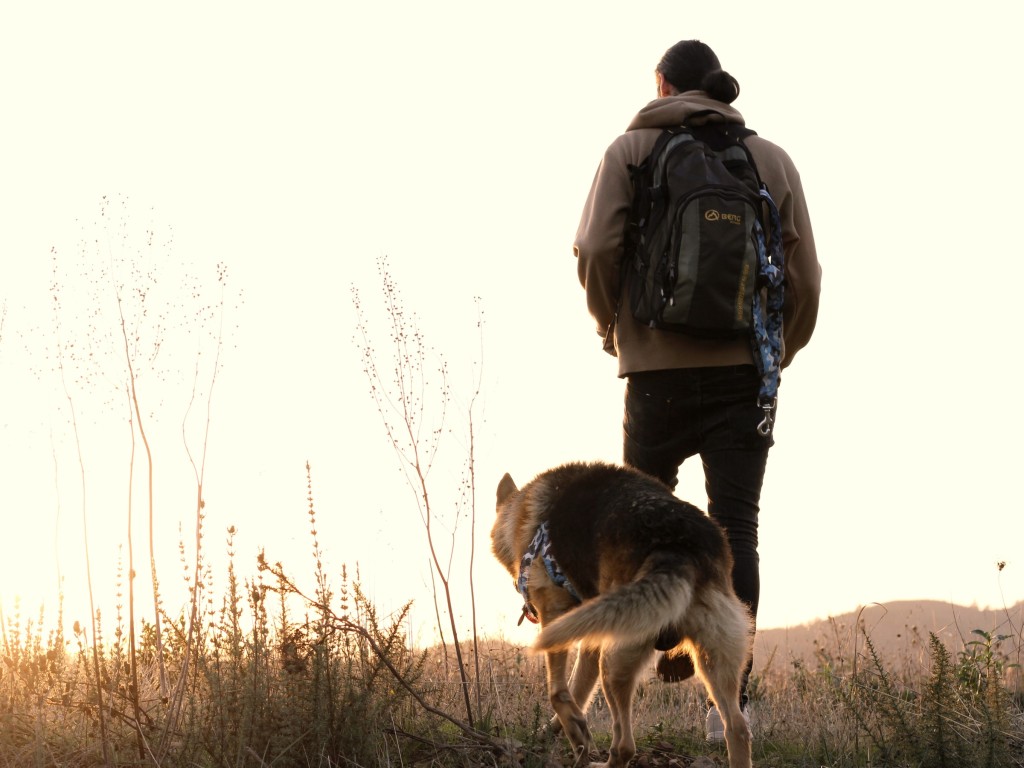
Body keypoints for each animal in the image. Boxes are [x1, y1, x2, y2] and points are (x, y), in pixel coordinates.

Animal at [491, 462, 749, 768]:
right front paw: (567, 733)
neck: (521, 514)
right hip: (714, 657)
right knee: (737, 728)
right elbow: (578, 692)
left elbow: (558, 692)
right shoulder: (590, 636)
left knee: (625, 746)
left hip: (614, 660)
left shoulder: (555, 617)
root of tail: (676, 548)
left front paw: (575, 736)